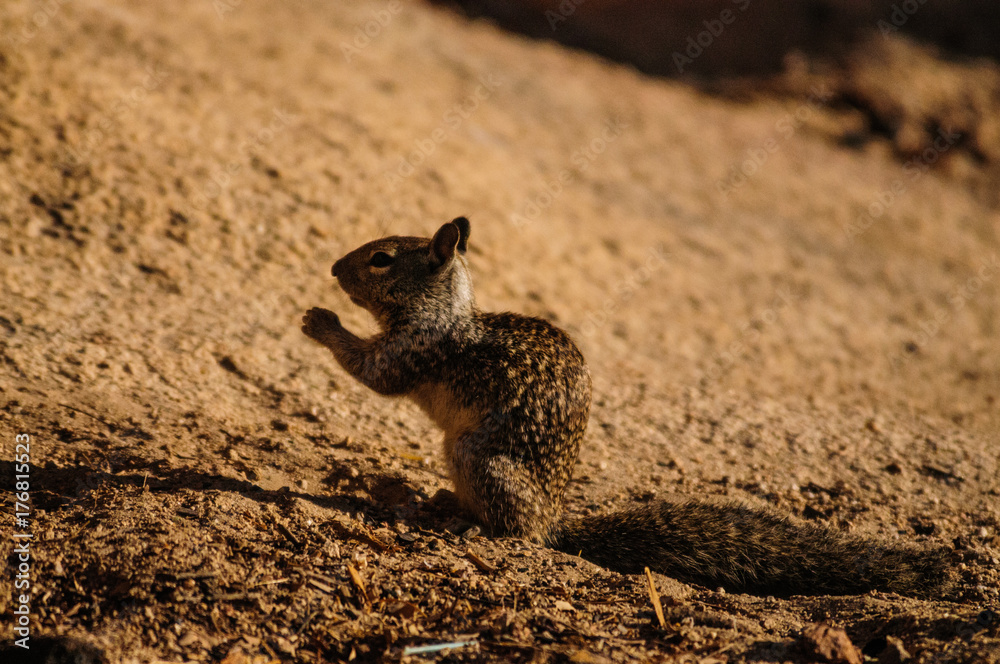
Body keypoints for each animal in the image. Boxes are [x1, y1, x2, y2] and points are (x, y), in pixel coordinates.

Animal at [302, 217, 954, 597]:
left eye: (383, 258)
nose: (331, 268)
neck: (443, 311)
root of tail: (555, 519)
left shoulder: (416, 350)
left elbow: (374, 373)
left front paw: (321, 322)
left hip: (477, 457)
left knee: (518, 533)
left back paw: (472, 525)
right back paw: (441, 501)